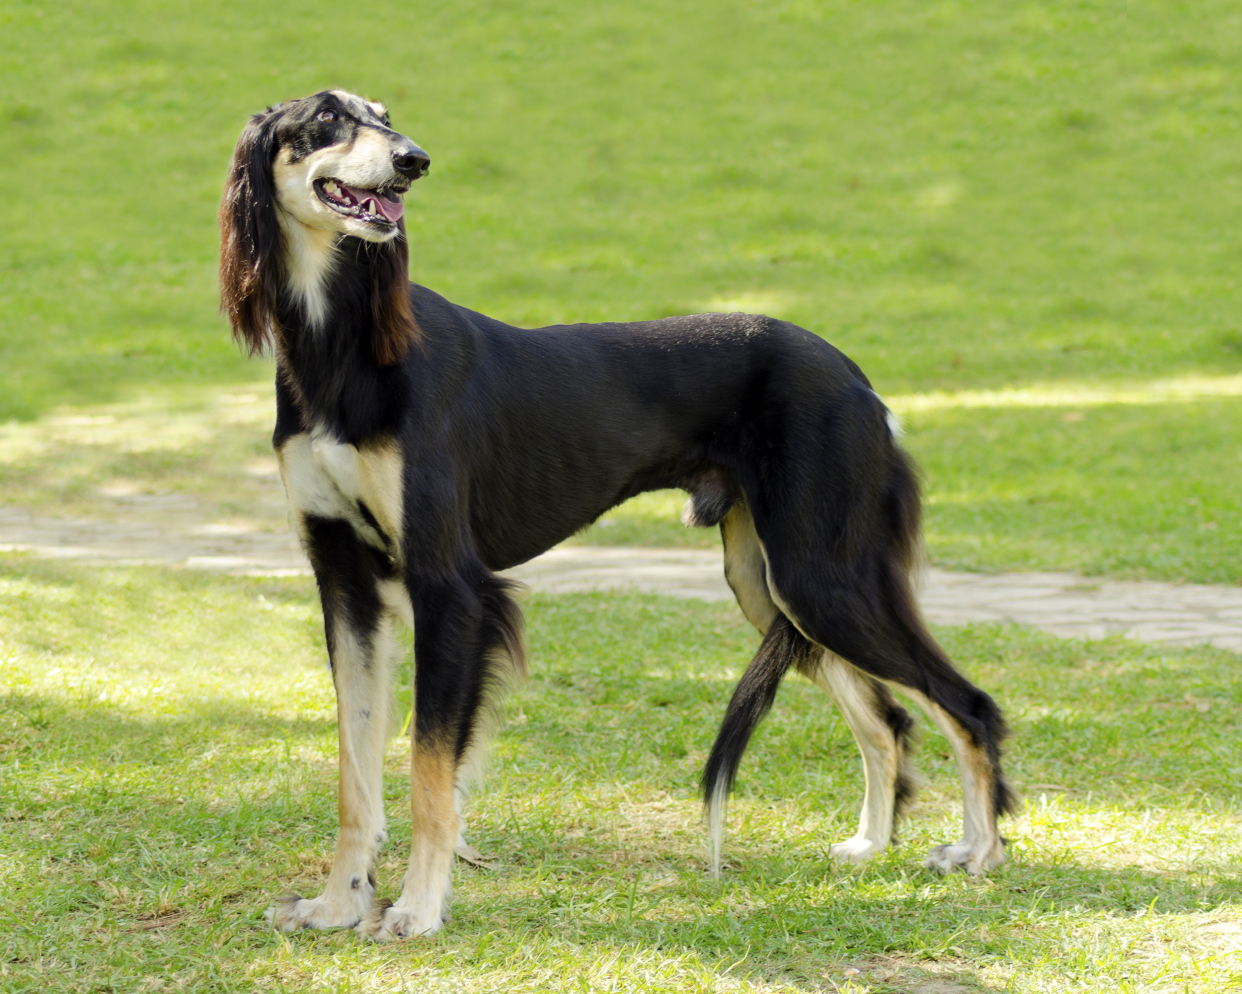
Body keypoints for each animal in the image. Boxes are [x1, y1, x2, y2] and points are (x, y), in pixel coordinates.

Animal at [221, 91, 1018, 939]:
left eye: (384, 115)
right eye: (328, 119)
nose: (414, 160)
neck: (342, 345)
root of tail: (857, 377)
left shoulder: (450, 588)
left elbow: (430, 768)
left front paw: (417, 906)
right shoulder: (346, 582)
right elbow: (355, 765)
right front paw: (340, 902)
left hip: (820, 576)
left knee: (968, 706)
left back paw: (978, 851)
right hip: (771, 583)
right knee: (888, 720)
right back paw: (872, 844)